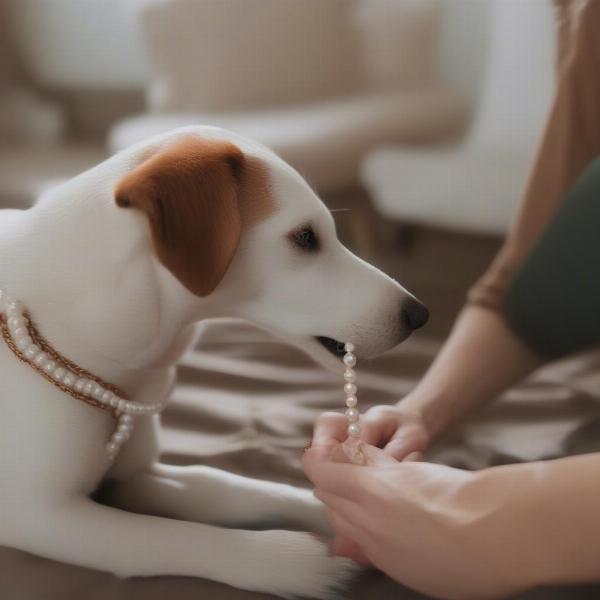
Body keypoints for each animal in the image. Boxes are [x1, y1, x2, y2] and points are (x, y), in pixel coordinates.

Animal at [1, 125, 432, 596]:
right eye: (304, 237)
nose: (420, 315)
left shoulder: (134, 477)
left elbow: (222, 484)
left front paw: (358, 505)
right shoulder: (36, 514)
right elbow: (164, 536)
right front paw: (288, 560)